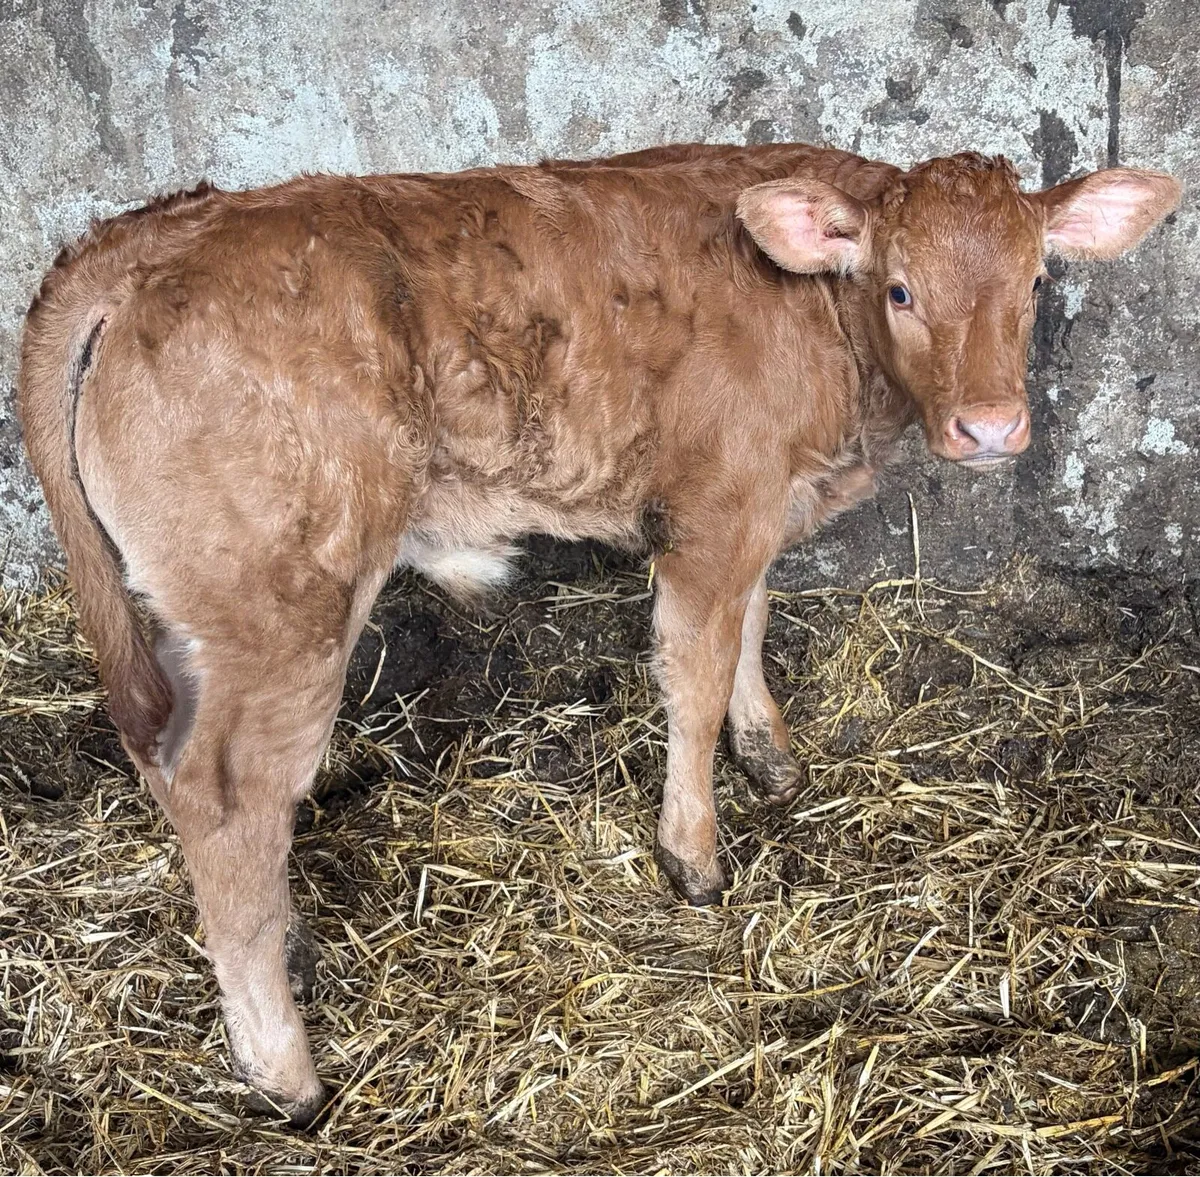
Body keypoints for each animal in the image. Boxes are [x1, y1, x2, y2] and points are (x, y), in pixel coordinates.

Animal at [17, 142, 1179, 1124]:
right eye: (900, 288)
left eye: (1036, 283)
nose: (992, 428)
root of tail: (148, 237)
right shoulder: (713, 512)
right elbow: (694, 670)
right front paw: (693, 853)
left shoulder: (757, 509)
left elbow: (751, 623)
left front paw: (771, 756)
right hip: (279, 604)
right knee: (229, 800)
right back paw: (283, 1069)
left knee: (170, 765)